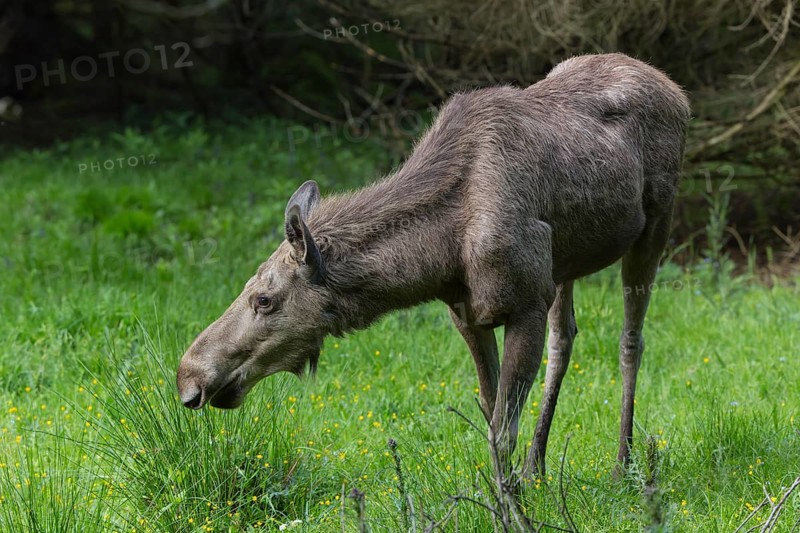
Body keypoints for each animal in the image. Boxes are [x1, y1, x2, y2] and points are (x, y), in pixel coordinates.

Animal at [177, 53, 690, 477]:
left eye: (264, 299)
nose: (189, 378)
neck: (438, 254)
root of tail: (677, 92)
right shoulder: (468, 314)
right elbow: (490, 418)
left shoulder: (524, 304)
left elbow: (502, 431)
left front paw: (514, 513)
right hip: (565, 262)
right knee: (564, 339)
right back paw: (537, 466)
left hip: (656, 225)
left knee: (630, 340)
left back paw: (624, 463)